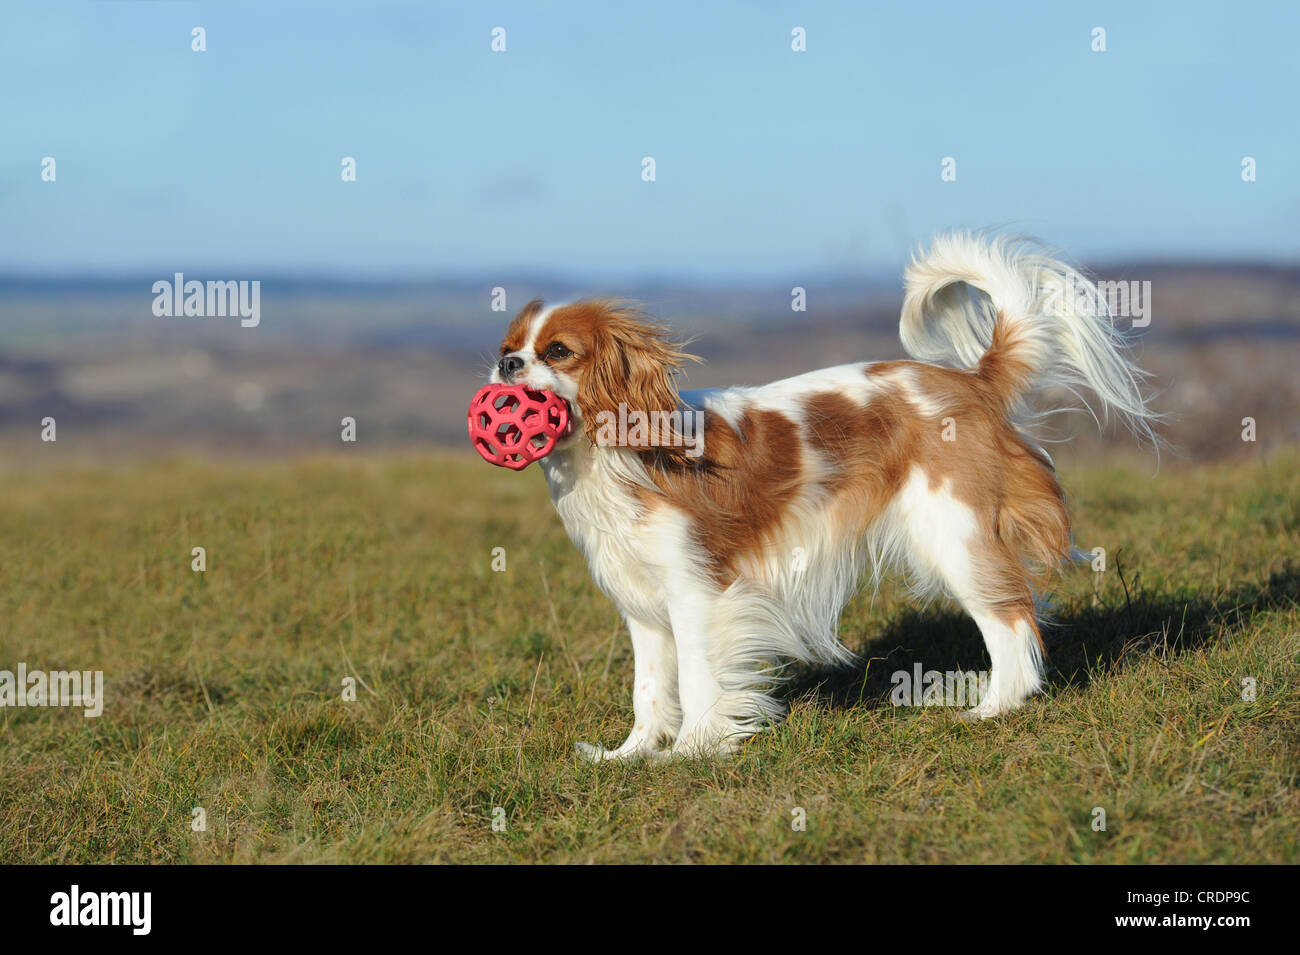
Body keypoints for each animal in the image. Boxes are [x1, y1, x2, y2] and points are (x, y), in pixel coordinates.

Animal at [488, 233, 1159, 764]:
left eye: (557, 353)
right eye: (508, 345)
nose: (507, 364)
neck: (617, 453)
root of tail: (971, 381)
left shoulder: (698, 592)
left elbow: (701, 681)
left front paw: (693, 751)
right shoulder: (643, 606)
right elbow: (650, 690)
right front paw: (629, 755)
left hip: (954, 535)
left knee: (1011, 618)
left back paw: (995, 709)